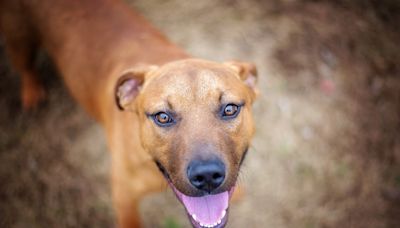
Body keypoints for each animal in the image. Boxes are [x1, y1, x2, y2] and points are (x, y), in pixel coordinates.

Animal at [0, 0, 258, 227]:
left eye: (230, 109)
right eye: (162, 117)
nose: (207, 176)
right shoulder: (124, 198)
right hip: (19, 38)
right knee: (25, 67)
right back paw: (32, 92)